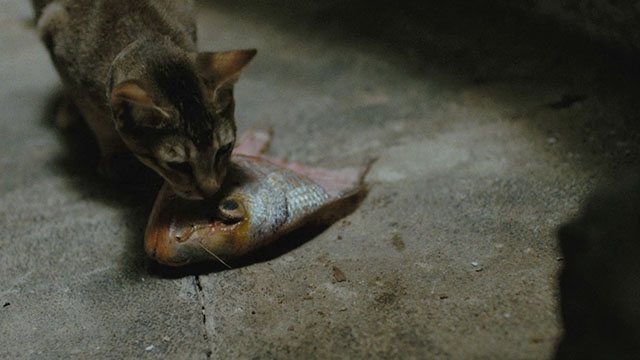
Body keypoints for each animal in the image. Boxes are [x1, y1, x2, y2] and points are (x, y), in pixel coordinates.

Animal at [33, 0, 256, 200]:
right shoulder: (55, 34)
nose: (211, 191)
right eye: (178, 165)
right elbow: (99, 124)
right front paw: (113, 157)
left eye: (224, 149)